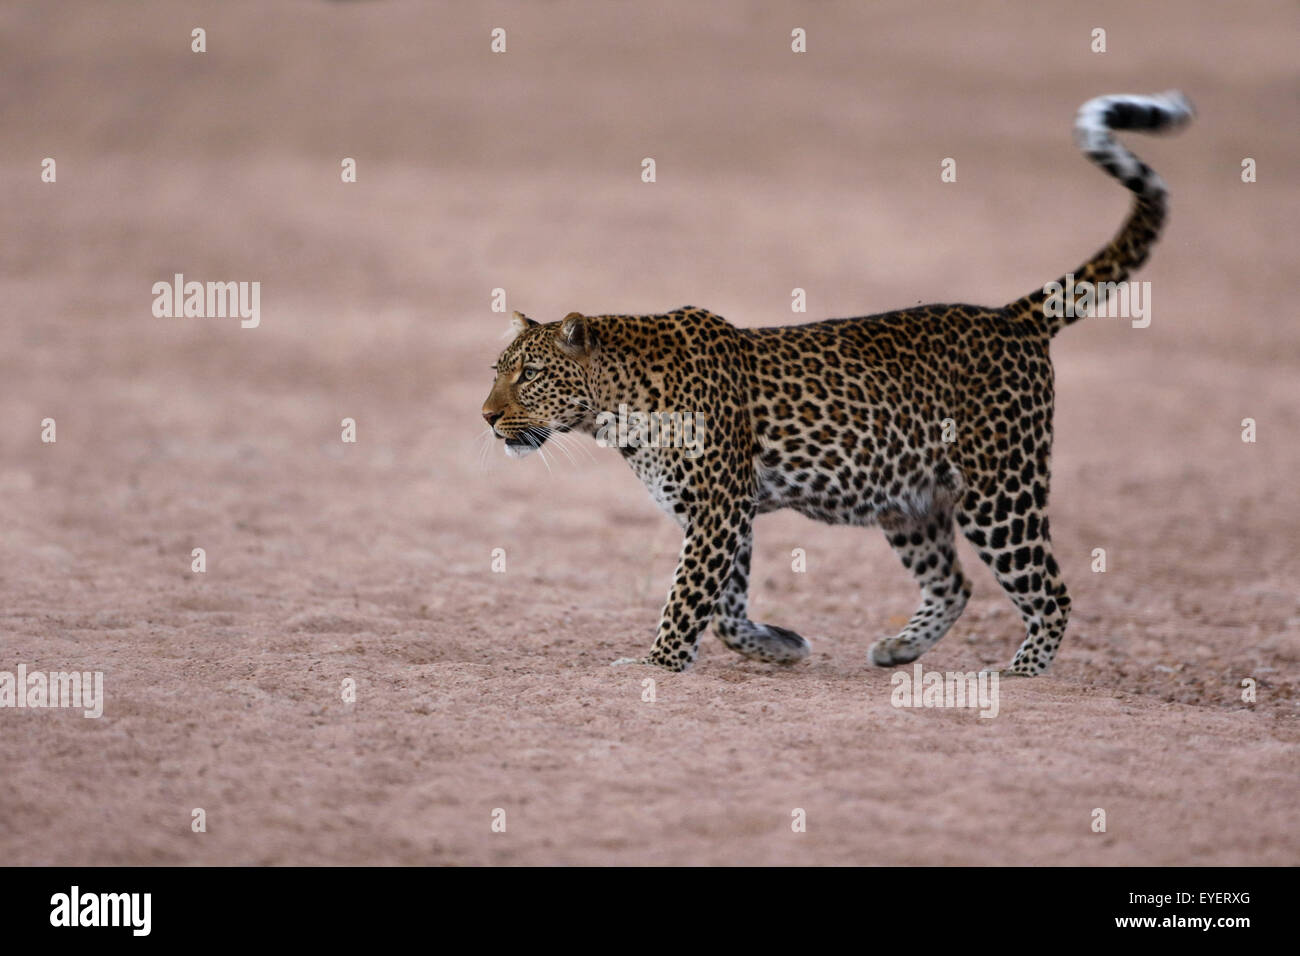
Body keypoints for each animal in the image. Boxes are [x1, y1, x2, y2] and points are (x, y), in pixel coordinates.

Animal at [483, 89, 1190, 671]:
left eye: (529, 374)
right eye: (498, 373)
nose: (486, 417)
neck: (619, 406)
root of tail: (1007, 315)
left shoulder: (718, 506)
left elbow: (688, 594)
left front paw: (658, 661)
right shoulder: (729, 510)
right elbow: (725, 608)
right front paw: (779, 645)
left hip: (1000, 489)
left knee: (1050, 590)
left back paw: (1019, 672)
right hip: (911, 501)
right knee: (953, 583)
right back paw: (900, 648)